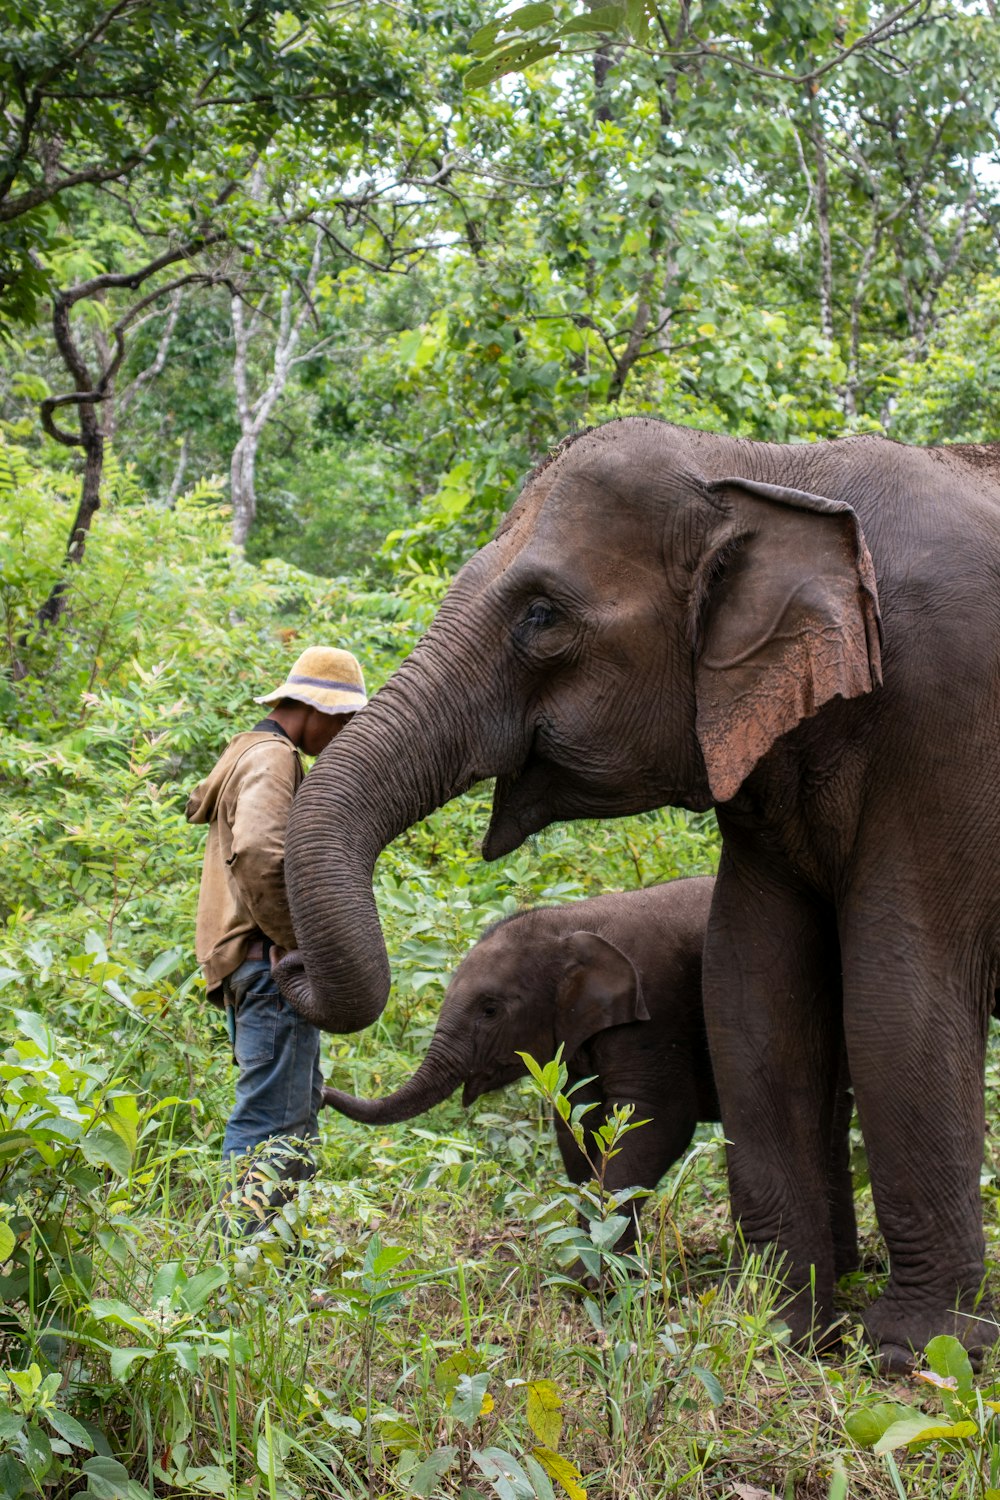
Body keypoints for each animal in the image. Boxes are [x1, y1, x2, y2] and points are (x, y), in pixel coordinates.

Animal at [325, 876, 857, 1272]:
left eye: (490, 1010)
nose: (323, 1088)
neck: (573, 921)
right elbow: (581, 1123)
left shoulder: (655, 1011)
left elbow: (659, 1121)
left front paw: (596, 1279)